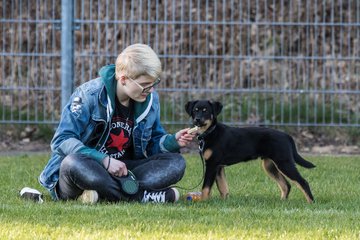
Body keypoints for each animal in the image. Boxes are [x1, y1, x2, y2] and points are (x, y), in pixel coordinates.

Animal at [186, 100, 316, 203]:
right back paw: (282, 202)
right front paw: (224, 202)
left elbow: (206, 187)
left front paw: (203, 202)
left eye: (205, 111)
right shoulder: (219, 167)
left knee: (303, 182)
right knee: (286, 185)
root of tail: (287, 136)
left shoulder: (212, 165)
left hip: (284, 162)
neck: (210, 132)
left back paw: (311, 202)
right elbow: (223, 187)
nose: (197, 119)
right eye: (195, 110)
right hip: (269, 165)